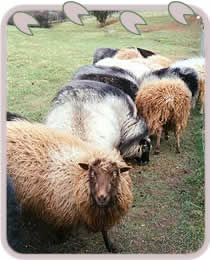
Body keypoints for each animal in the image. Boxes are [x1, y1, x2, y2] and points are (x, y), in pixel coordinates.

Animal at [6, 121, 133, 252]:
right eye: (92, 173)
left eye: (115, 174)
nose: (101, 197)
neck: (76, 176)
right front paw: (60, 238)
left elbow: (105, 231)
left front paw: (111, 246)